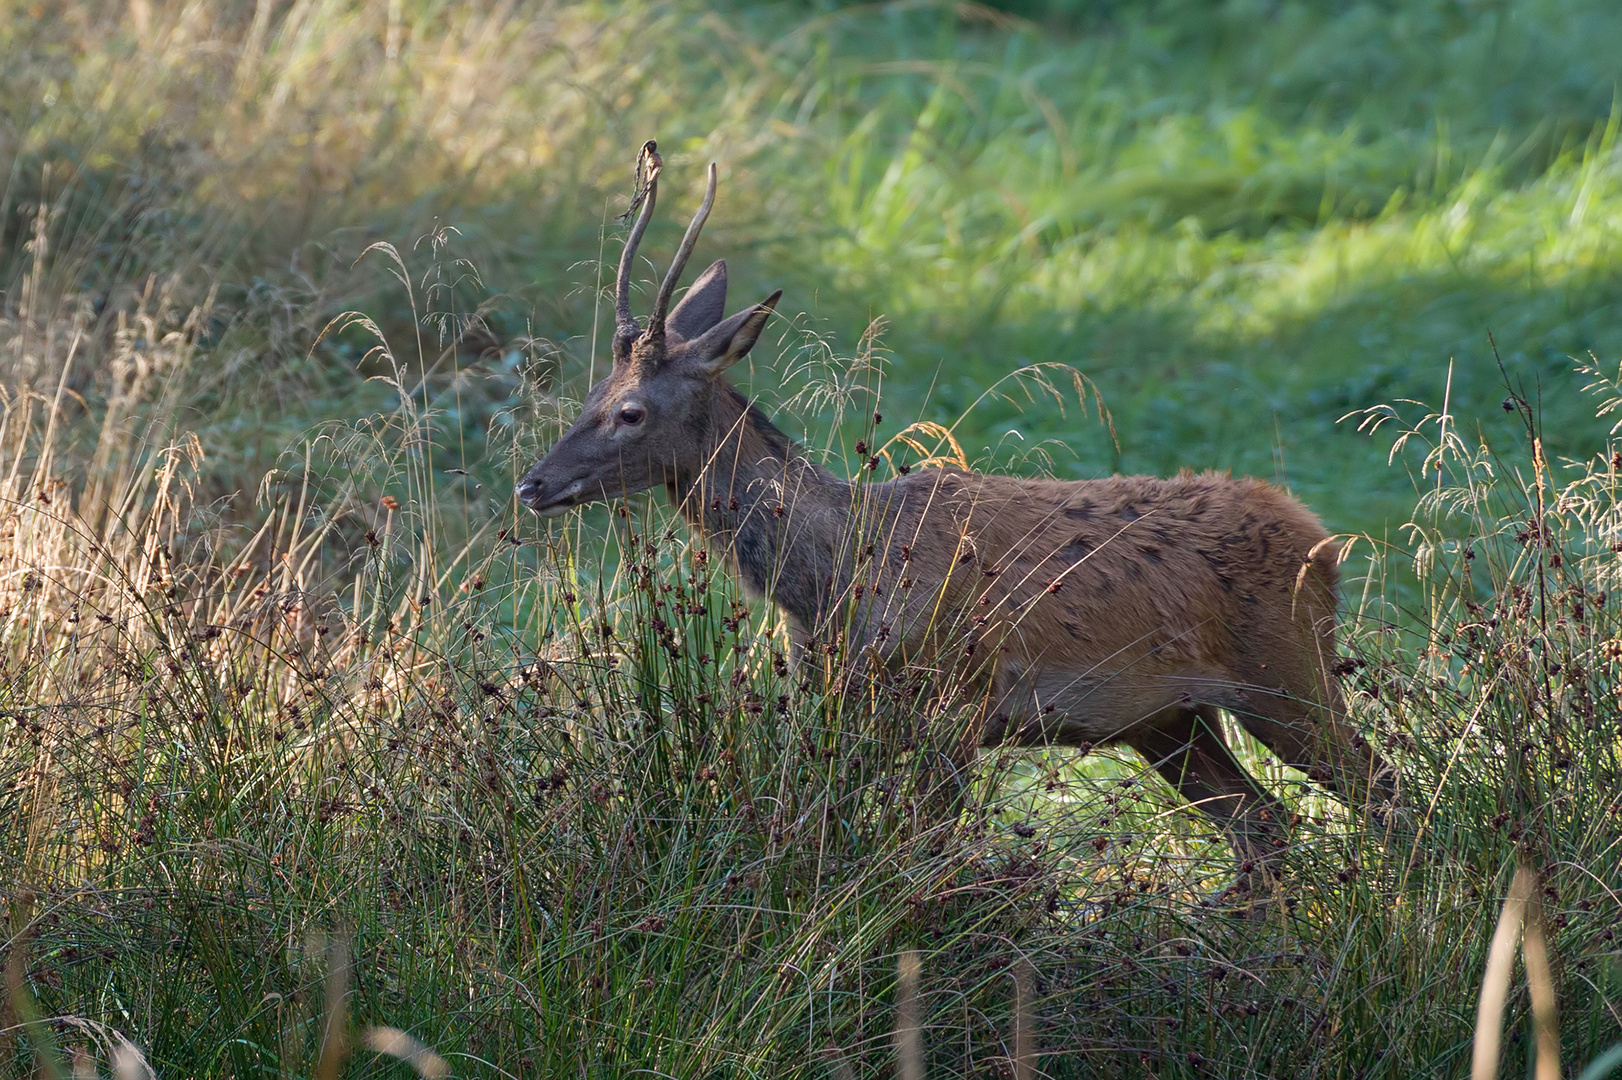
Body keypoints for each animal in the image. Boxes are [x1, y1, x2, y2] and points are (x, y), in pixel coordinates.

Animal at [519, 145, 1394, 901]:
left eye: (631, 412)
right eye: (592, 392)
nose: (533, 483)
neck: (834, 572)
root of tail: (1322, 542)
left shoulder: (955, 703)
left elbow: (926, 851)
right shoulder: (844, 705)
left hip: (1288, 674)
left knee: (1386, 799)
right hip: (1170, 719)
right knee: (1265, 825)